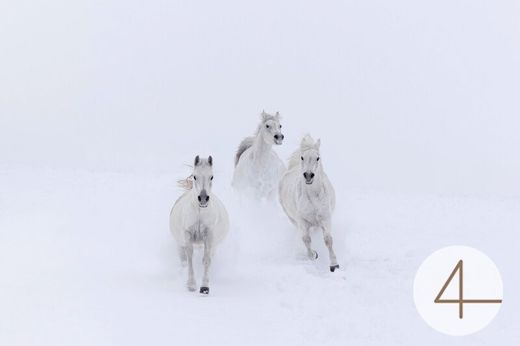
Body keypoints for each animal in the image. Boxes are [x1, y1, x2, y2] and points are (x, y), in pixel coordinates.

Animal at [170, 155, 229, 294]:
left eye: (212, 176)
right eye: (195, 176)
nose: (203, 198)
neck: (199, 213)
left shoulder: (209, 236)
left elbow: (206, 260)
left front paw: (204, 287)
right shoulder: (187, 235)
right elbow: (190, 257)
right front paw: (191, 284)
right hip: (180, 242)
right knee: (184, 260)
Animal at [278, 134, 340, 272]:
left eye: (317, 157)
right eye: (302, 157)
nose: (308, 175)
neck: (313, 197)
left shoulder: (325, 218)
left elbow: (328, 239)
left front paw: (334, 265)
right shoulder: (302, 221)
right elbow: (306, 239)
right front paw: (314, 255)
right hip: (294, 221)